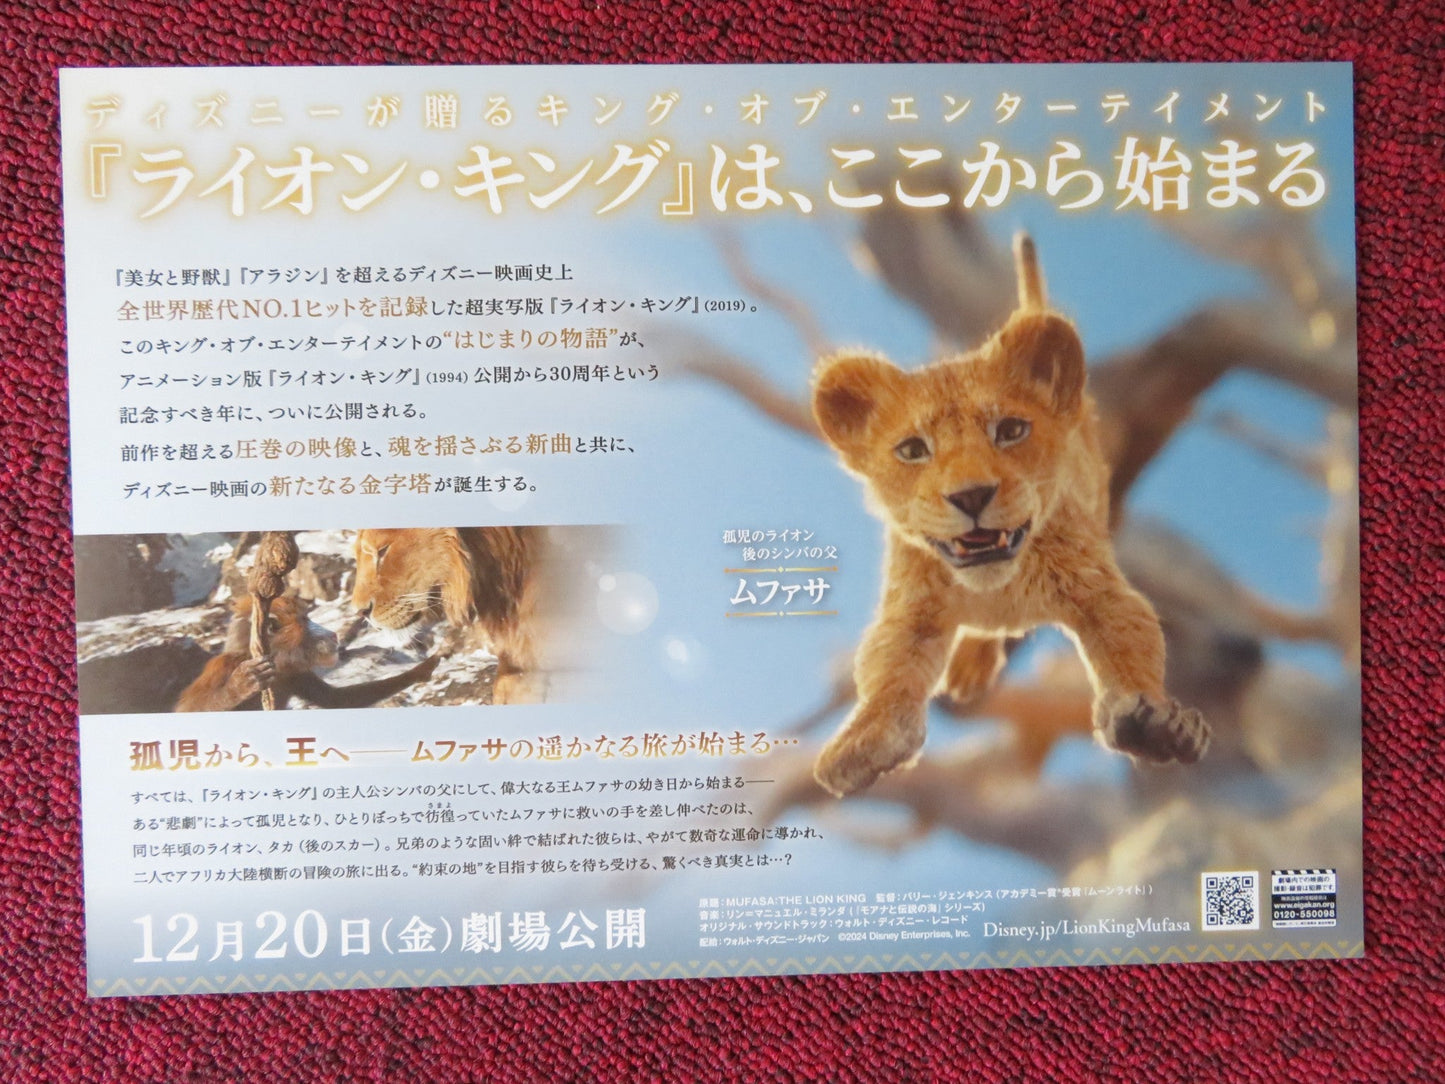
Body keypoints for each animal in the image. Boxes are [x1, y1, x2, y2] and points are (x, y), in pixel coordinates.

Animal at [810, 234, 1209, 797]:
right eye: (912, 450)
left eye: (1011, 431)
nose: (972, 496)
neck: (996, 585)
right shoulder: (911, 611)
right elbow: (887, 673)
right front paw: (865, 741)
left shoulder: (1102, 591)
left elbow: (1132, 645)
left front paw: (1157, 723)